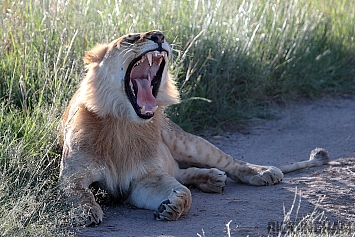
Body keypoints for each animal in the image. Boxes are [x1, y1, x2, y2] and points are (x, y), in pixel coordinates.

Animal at [59, 30, 330, 225]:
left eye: (158, 34)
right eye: (130, 38)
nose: (159, 36)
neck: (123, 123)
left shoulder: (146, 177)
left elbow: (184, 194)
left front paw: (174, 205)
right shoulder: (72, 175)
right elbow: (79, 192)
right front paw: (86, 211)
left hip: (187, 142)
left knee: (229, 163)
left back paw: (260, 172)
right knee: (182, 173)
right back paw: (212, 179)